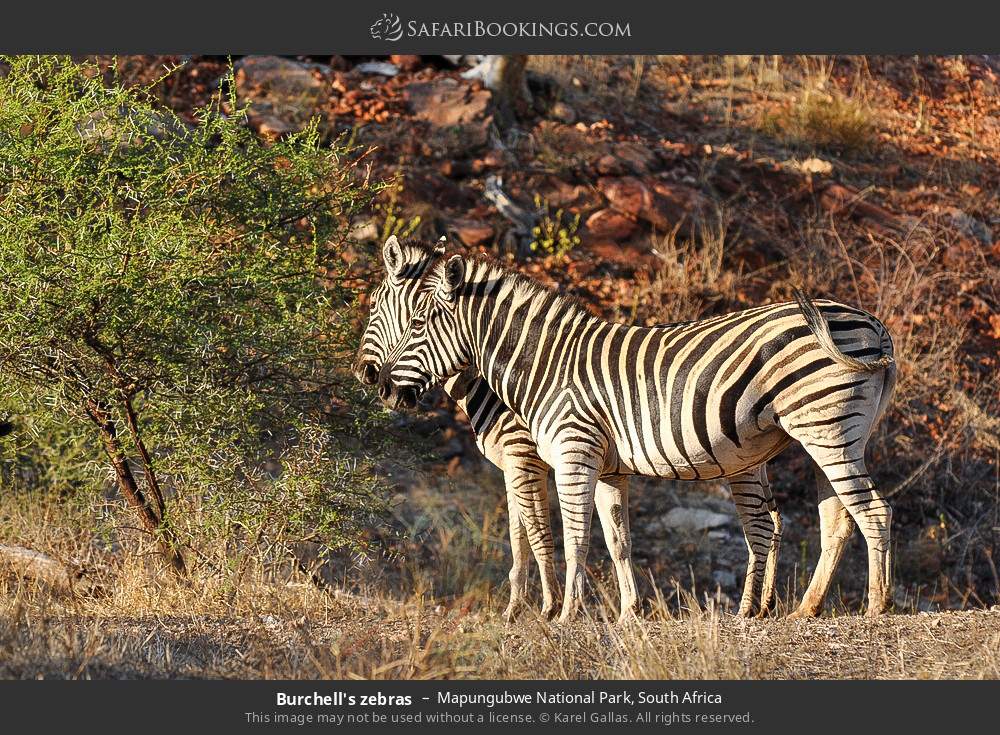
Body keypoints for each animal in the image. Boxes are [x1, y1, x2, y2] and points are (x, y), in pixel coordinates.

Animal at [353, 236, 637, 621]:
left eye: (373, 305)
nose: (366, 375)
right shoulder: (512, 465)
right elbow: (519, 536)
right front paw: (516, 607)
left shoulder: (524, 457)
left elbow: (538, 535)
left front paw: (549, 607)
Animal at [379, 252, 897, 622]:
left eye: (416, 324)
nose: (381, 386)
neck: (546, 365)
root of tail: (873, 323)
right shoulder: (608, 467)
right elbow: (618, 540)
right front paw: (628, 614)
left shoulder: (572, 452)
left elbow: (574, 537)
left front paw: (565, 616)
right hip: (827, 435)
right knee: (836, 518)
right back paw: (804, 610)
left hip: (826, 428)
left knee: (871, 511)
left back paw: (877, 606)